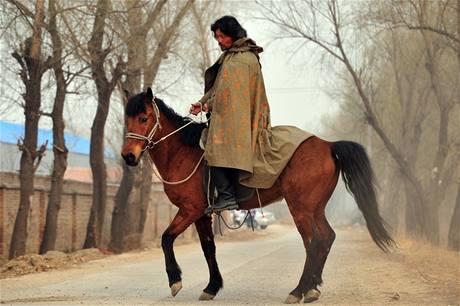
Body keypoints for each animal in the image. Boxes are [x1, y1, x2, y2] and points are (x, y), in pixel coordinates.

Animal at [120, 88, 394, 304]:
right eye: (127, 120)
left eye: (144, 118)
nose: (128, 156)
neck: (182, 153)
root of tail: (328, 145)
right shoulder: (202, 214)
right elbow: (208, 248)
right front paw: (212, 287)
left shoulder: (190, 209)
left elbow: (166, 238)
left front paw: (175, 281)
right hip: (314, 208)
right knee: (325, 238)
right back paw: (312, 288)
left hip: (301, 208)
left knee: (314, 241)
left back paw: (299, 290)